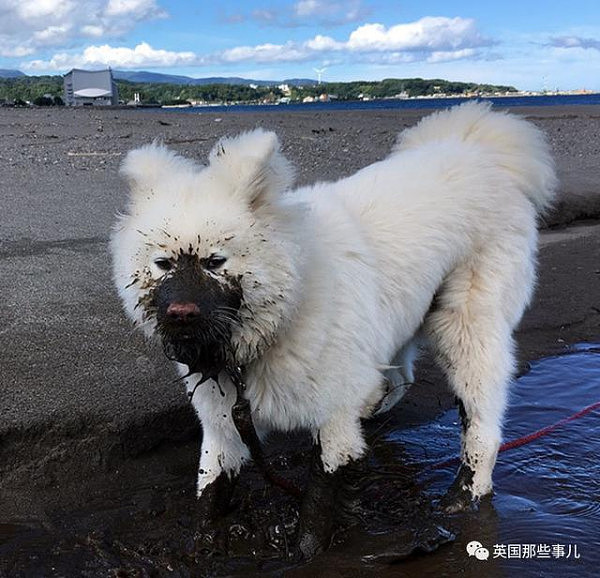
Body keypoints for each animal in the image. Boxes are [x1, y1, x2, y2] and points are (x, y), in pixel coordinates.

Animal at [110, 102, 556, 548]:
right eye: (163, 263)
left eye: (215, 261)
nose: (180, 313)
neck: (287, 306)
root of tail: (480, 151)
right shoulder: (224, 426)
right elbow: (210, 492)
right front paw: (204, 544)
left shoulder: (333, 421)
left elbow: (316, 513)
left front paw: (307, 550)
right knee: (402, 375)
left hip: (465, 329)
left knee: (482, 426)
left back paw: (464, 496)